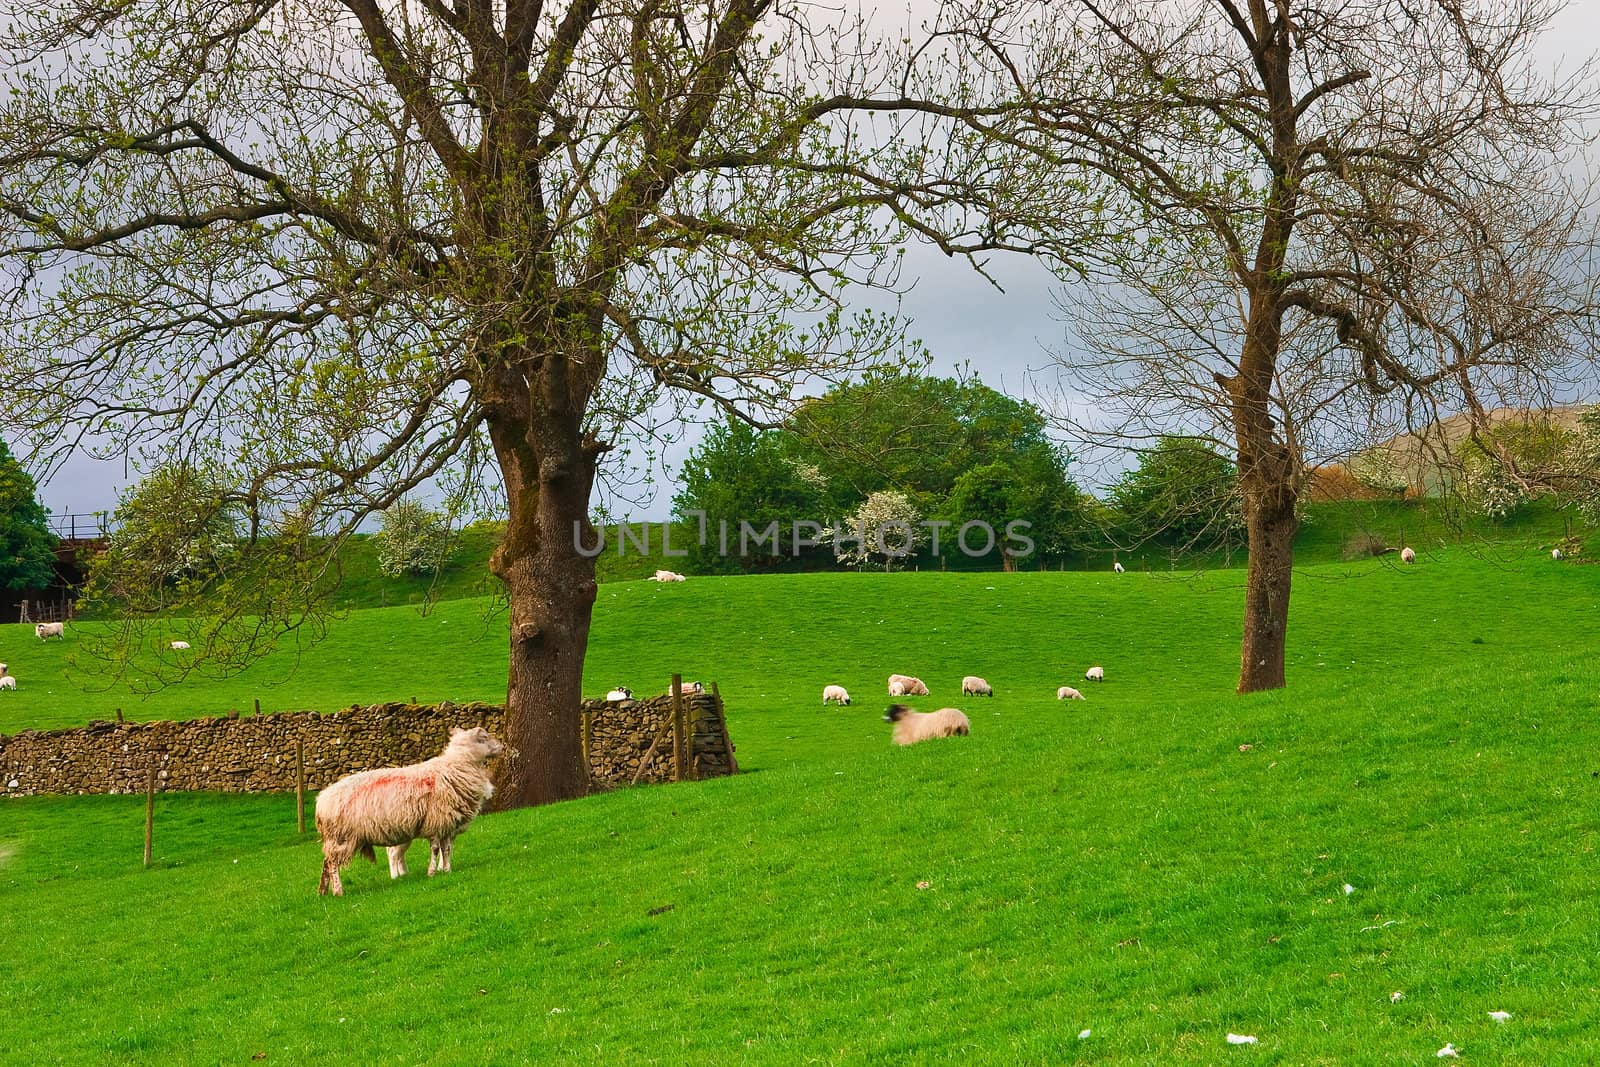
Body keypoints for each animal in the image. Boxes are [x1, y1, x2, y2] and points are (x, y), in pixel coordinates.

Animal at [315, 726, 502, 895]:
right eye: (484, 737)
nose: (502, 746)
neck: (456, 767)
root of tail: (321, 800)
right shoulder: (436, 822)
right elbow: (436, 849)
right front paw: (432, 872)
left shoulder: (446, 824)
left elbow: (446, 849)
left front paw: (447, 870)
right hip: (341, 837)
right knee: (332, 863)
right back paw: (338, 891)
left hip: (335, 839)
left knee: (326, 862)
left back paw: (323, 891)